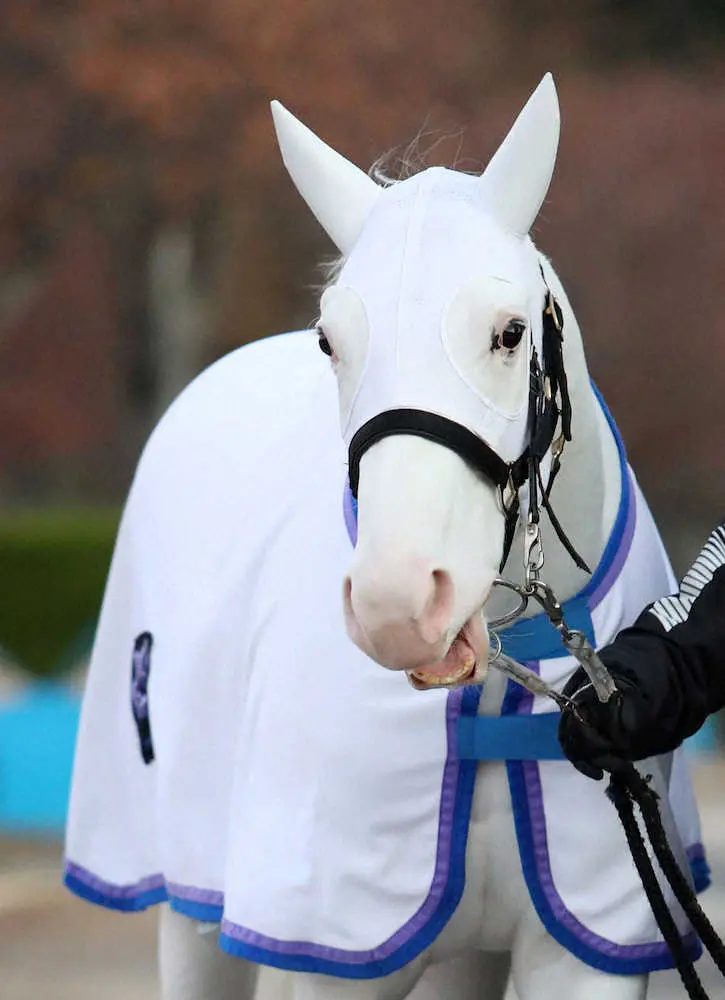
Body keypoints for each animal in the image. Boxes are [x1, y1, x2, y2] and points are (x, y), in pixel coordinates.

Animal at [65, 76, 704, 1000]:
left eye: (508, 332)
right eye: (330, 338)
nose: (397, 604)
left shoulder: (587, 952)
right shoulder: (333, 953)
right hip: (186, 909)